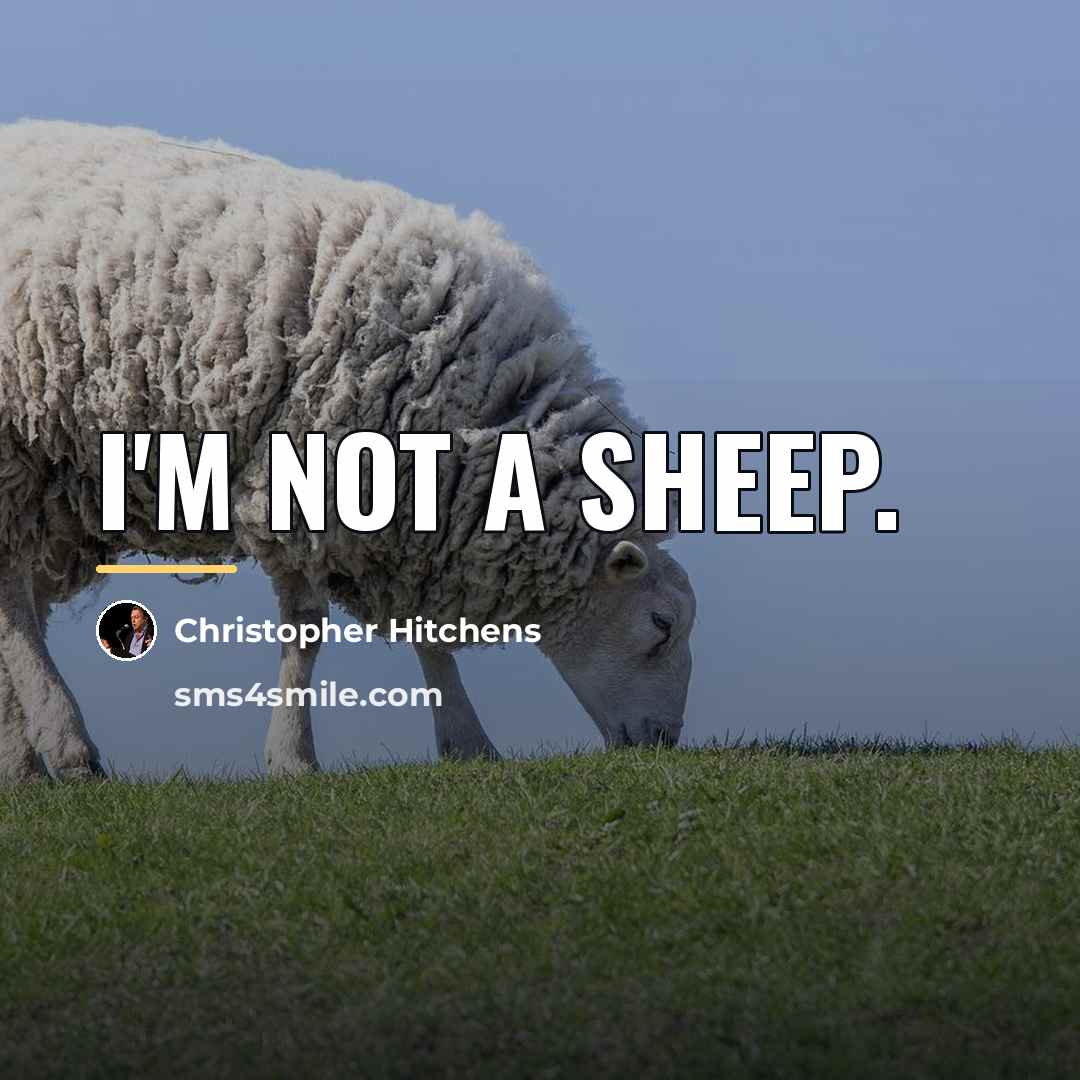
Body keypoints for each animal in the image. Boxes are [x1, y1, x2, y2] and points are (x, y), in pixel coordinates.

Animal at [0, 119, 696, 780]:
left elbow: (426, 635)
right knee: (13, 606)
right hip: (14, 451)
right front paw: (293, 755)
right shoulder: (310, 483)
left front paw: (467, 741)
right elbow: (307, 632)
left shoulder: (407, 519)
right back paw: (66, 747)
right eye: (662, 626)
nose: (663, 742)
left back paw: (24, 765)